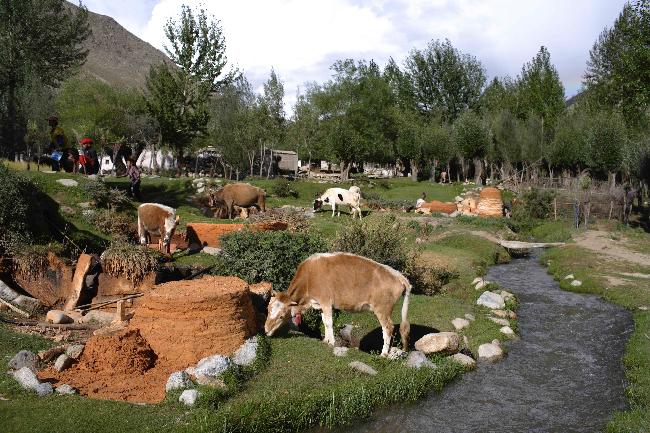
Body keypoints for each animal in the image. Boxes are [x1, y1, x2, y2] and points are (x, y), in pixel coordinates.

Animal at [264, 251, 410, 356]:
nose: (265, 330)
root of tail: (399, 275)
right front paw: (325, 340)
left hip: (382, 309)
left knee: (388, 328)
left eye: (281, 316)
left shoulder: (326, 302)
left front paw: (332, 342)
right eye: (268, 309)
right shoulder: (320, 305)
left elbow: (329, 322)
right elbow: (324, 321)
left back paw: (384, 354)